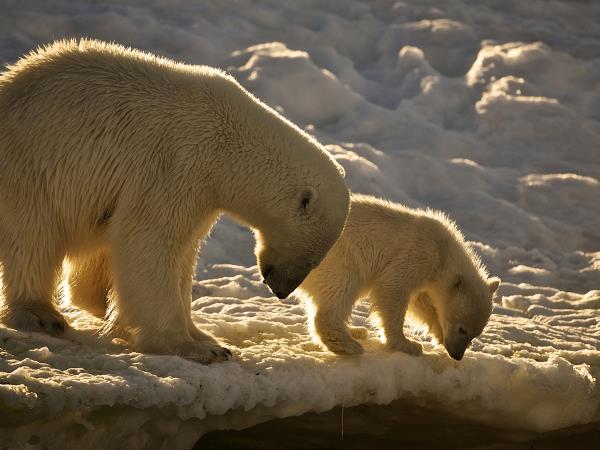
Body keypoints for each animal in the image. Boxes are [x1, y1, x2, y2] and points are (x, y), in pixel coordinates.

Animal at [0, 37, 350, 362]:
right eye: (310, 260)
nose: (280, 290)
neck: (229, 141)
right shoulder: (179, 164)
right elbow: (150, 241)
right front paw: (196, 347)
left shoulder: (204, 192)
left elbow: (182, 253)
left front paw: (203, 335)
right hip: (31, 168)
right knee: (33, 238)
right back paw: (41, 314)